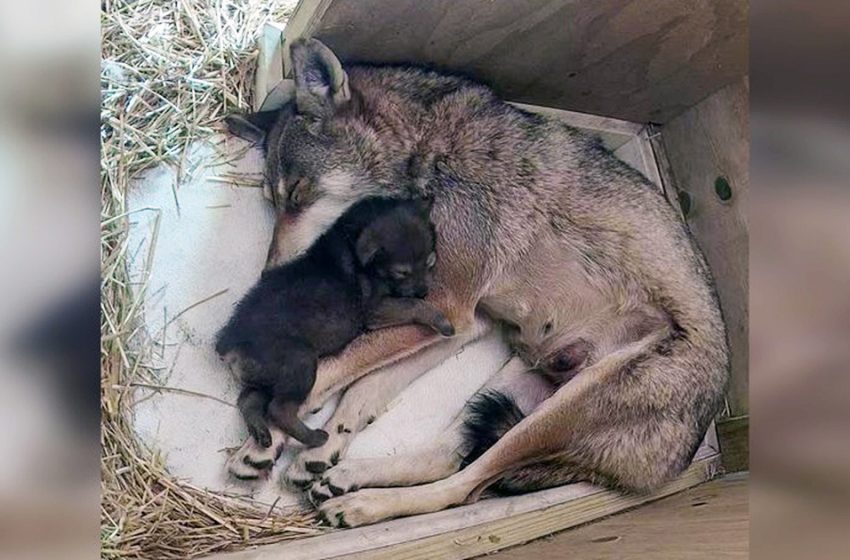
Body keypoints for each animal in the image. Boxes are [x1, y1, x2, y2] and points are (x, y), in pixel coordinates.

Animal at [222, 37, 724, 528]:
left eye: (298, 195)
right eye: (272, 202)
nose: (268, 276)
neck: (430, 150)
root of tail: (694, 441)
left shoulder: (447, 307)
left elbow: (331, 370)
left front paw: (267, 437)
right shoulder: (460, 323)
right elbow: (359, 388)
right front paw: (318, 447)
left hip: (556, 411)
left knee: (463, 488)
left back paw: (364, 505)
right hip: (506, 390)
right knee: (449, 459)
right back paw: (349, 477)